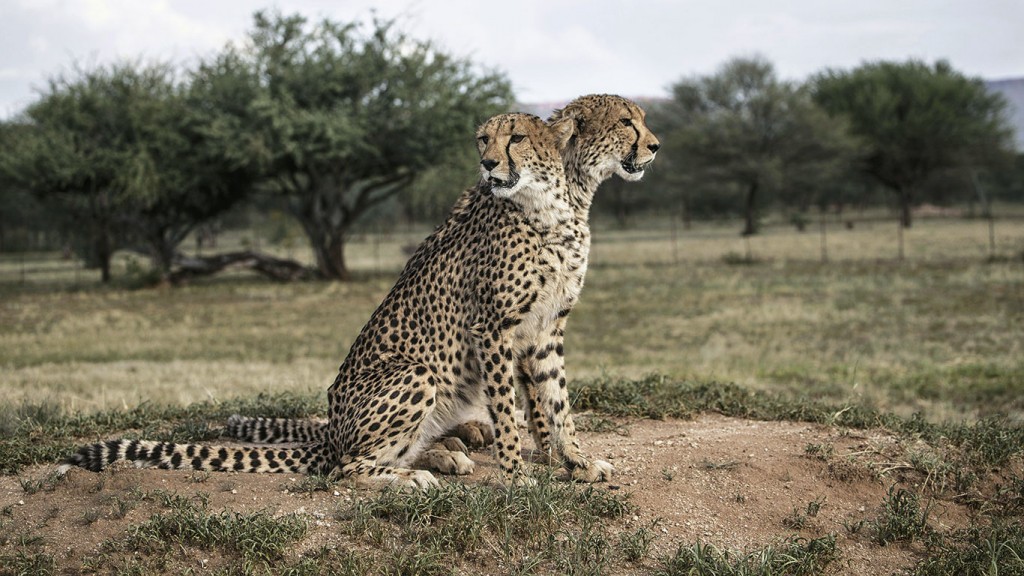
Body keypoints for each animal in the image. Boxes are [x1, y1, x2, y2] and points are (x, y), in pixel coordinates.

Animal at [59, 113, 602, 487]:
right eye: (482, 140)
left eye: (516, 138)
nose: (487, 164)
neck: (549, 211)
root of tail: (333, 428)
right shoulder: (491, 328)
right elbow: (509, 411)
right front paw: (517, 474)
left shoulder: (545, 328)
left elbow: (558, 401)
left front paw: (577, 461)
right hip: (416, 373)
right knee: (346, 467)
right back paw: (414, 476)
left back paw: (443, 455)